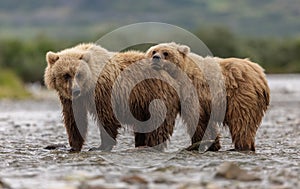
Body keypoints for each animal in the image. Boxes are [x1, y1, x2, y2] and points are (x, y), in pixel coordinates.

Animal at [44, 43, 182, 152]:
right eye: (66, 75)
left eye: (79, 74)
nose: (75, 90)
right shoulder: (71, 100)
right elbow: (74, 119)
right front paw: (73, 146)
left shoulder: (103, 92)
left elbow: (106, 117)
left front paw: (100, 147)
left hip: (155, 95)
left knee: (157, 124)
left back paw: (152, 146)